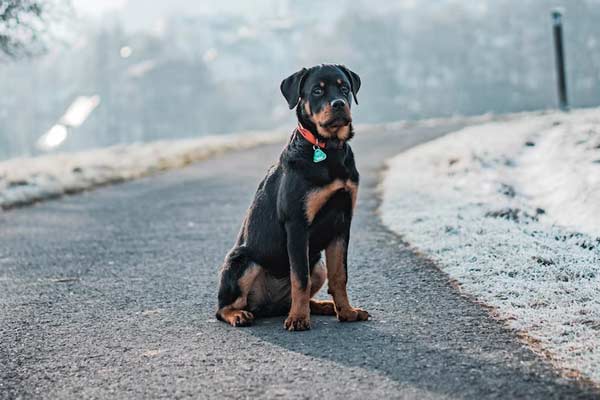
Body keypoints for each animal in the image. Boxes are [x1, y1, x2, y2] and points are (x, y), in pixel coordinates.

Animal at [213, 63, 368, 332]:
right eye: (317, 91)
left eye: (344, 88)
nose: (339, 104)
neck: (327, 149)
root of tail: (266, 306)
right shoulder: (297, 224)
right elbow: (299, 278)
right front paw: (298, 319)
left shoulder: (342, 222)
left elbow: (340, 275)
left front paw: (347, 312)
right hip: (243, 261)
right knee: (223, 307)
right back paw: (240, 315)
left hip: (318, 265)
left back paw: (323, 306)